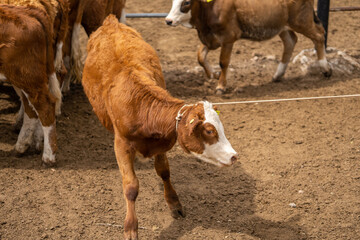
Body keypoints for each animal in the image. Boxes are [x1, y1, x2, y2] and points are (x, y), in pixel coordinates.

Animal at [0, 3, 60, 165]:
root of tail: (29, 12)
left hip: (28, 76)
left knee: (45, 105)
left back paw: (48, 156)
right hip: (24, 78)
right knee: (30, 107)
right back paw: (22, 146)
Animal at [82, 15, 239, 240]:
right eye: (209, 131)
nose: (234, 156)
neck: (140, 107)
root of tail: (111, 22)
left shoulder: (161, 143)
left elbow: (164, 171)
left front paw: (175, 204)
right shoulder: (121, 145)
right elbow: (131, 187)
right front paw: (131, 227)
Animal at [166, 0, 332, 94]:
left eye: (186, 2)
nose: (168, 20)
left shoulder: (228, 37)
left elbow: (223, 62)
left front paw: (221, 86)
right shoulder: (211, 38)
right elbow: (200, 56)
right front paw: (214, 75)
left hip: (302, 20)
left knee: (319, 35)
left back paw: (326, 68)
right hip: (281, 25)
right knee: (290, 41)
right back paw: (278, 75)